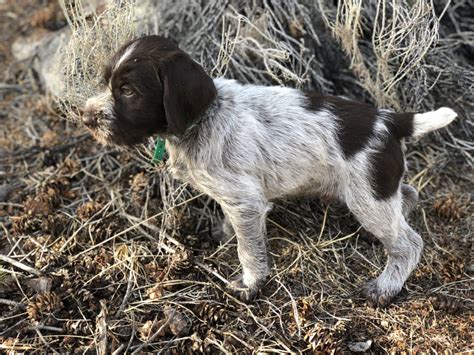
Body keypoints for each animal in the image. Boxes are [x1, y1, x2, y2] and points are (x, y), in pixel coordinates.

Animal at [83, 36, 458, 308]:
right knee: (408, 194)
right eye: (106, 83)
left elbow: (249, 249)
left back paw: (386, 286)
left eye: (128, 91)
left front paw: (250, 284)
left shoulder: (246, 202)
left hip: (367, 195)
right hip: (374, 189)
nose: (85, 117)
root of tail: (390, 120)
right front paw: (224, 232)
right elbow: (232, 225)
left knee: (408, 243)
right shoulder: (235, 199)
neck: (204, 118)